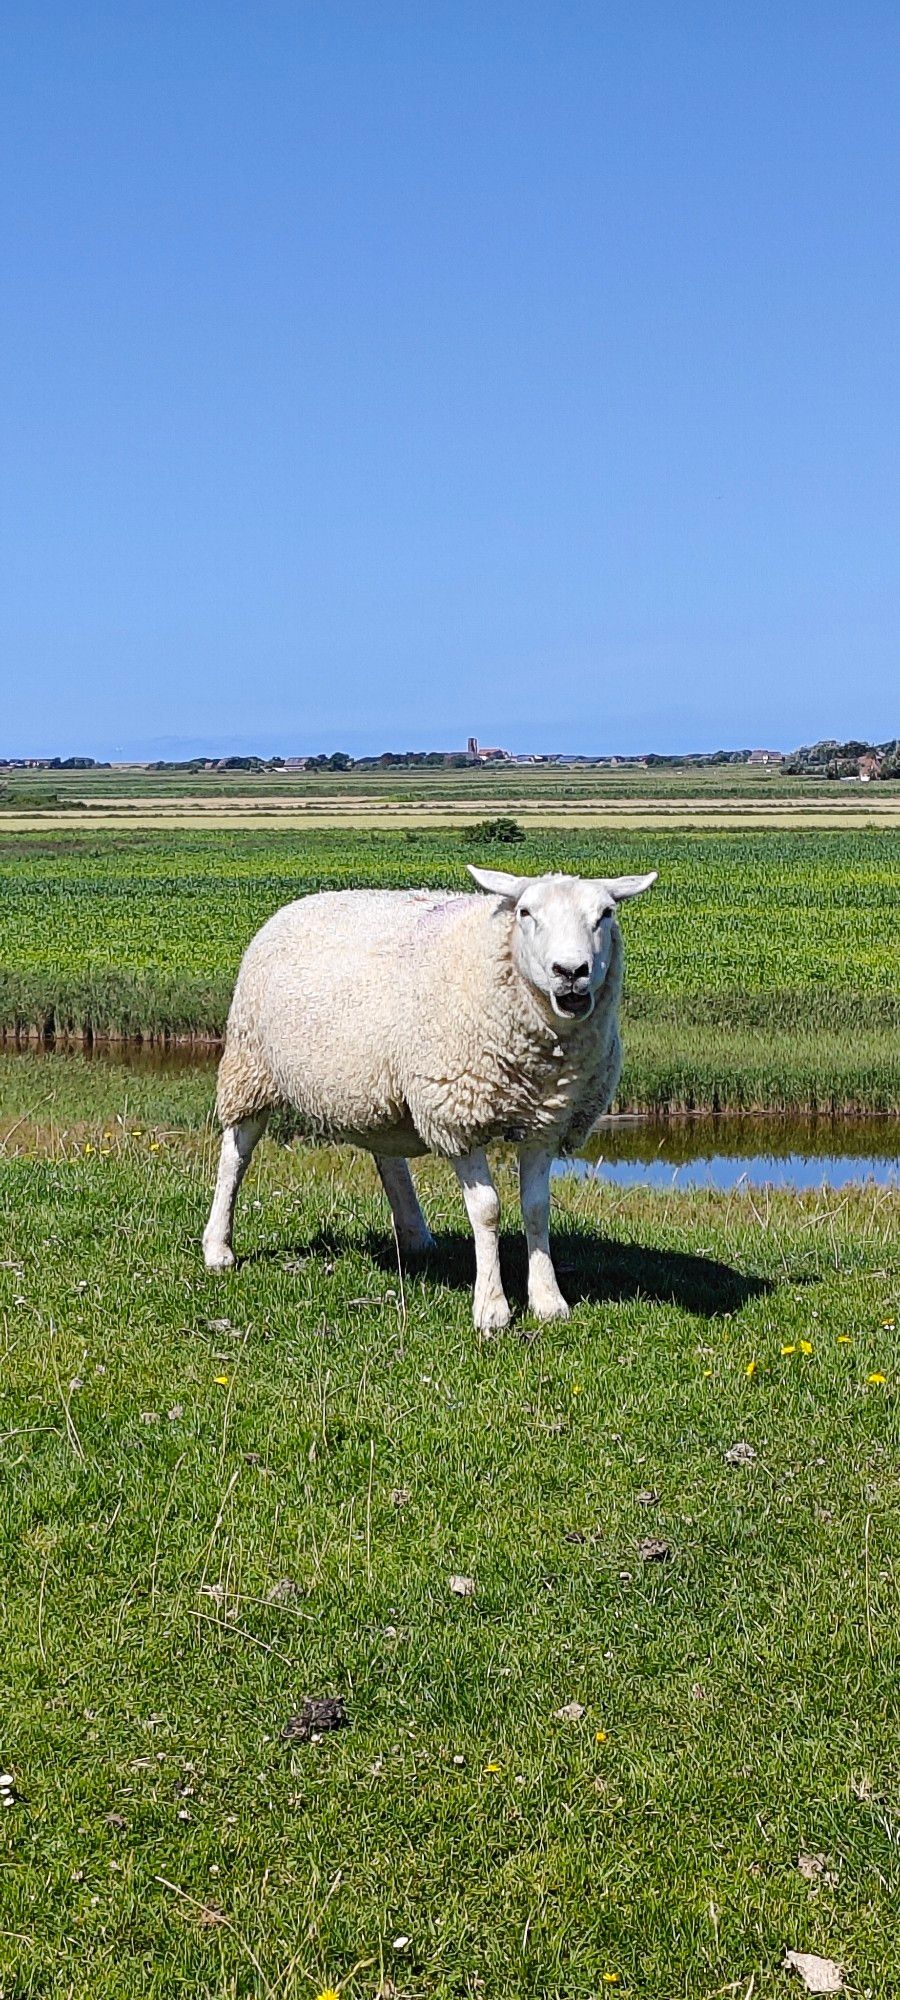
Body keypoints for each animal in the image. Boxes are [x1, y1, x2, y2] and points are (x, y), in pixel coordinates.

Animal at [202, 868, 652, 1336]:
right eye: (526, 912)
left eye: (606, 914)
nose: (571, 971)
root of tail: (302, 901)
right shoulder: (458, 1116)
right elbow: (487, 1210)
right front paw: (492, 1308)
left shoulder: (547, 1121)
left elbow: (536, 1207)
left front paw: (548, 1301)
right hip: (252, 1063)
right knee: (236, 1153)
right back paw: (218, 1248)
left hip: (374, 1085)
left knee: (387, 1157)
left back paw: (415, 1233)